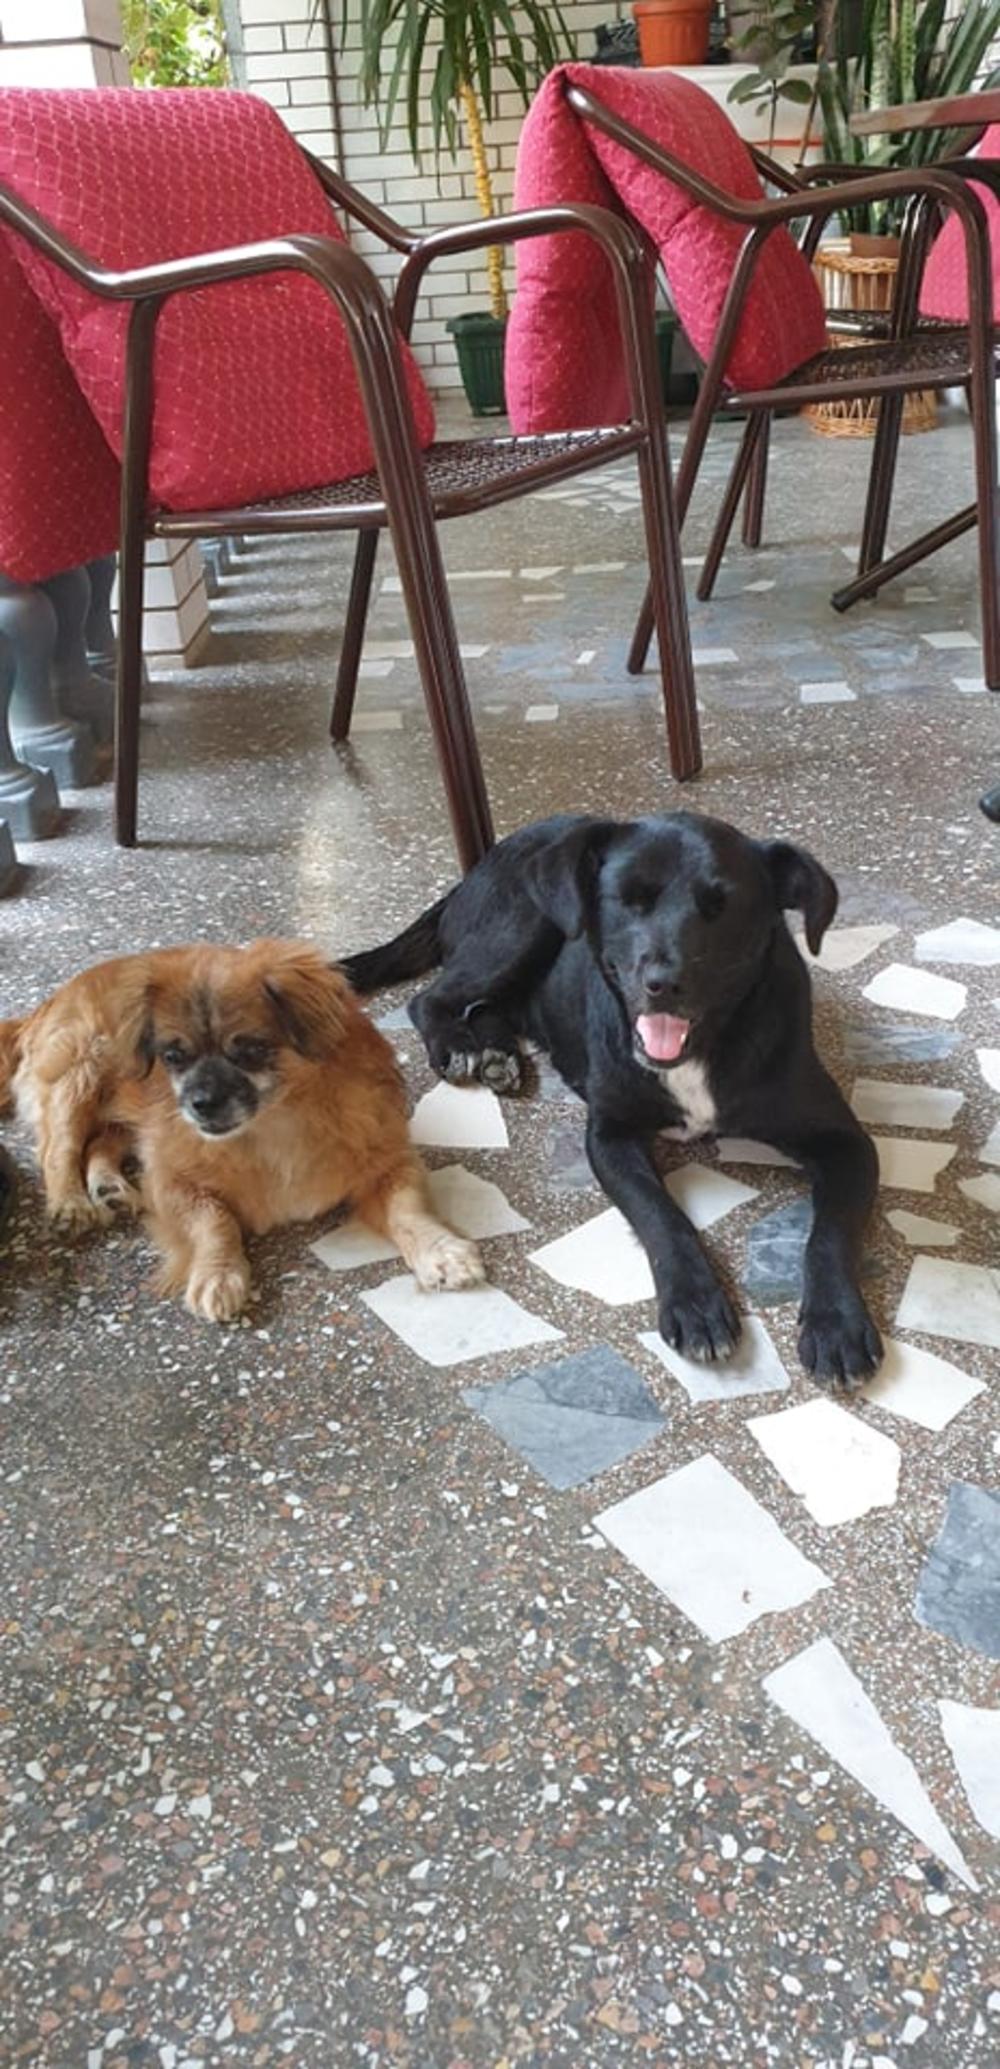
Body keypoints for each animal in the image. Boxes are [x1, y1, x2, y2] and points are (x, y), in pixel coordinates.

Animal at [0, 940, 484, 1321]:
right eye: (173, 1057)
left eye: (250, 1050)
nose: (199, 1103)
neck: (276, 1123)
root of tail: (48, 1002)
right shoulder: (172, 1181)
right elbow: (214, 1219)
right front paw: (219, 1274)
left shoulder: (389, 1164)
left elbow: (409, 1211)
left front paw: (440, 1251)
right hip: (80, 1074)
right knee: (59, 1149)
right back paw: (72, 1203)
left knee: (99, 1142)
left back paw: (109, 1187)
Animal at [341, 811, 883, 1387]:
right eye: (628, 898)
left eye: (722, 907)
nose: (664, 983)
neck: (698, 1053)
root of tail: (482, 864)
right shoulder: (609, 1135)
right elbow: (660, 1215)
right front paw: (695, 1303)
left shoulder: (846, 1143)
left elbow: (830, 1233)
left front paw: (836, 1324)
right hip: (523, 928)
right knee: (432, 998)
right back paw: (461, 1047)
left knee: (488, 1005)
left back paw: (494, 1051)